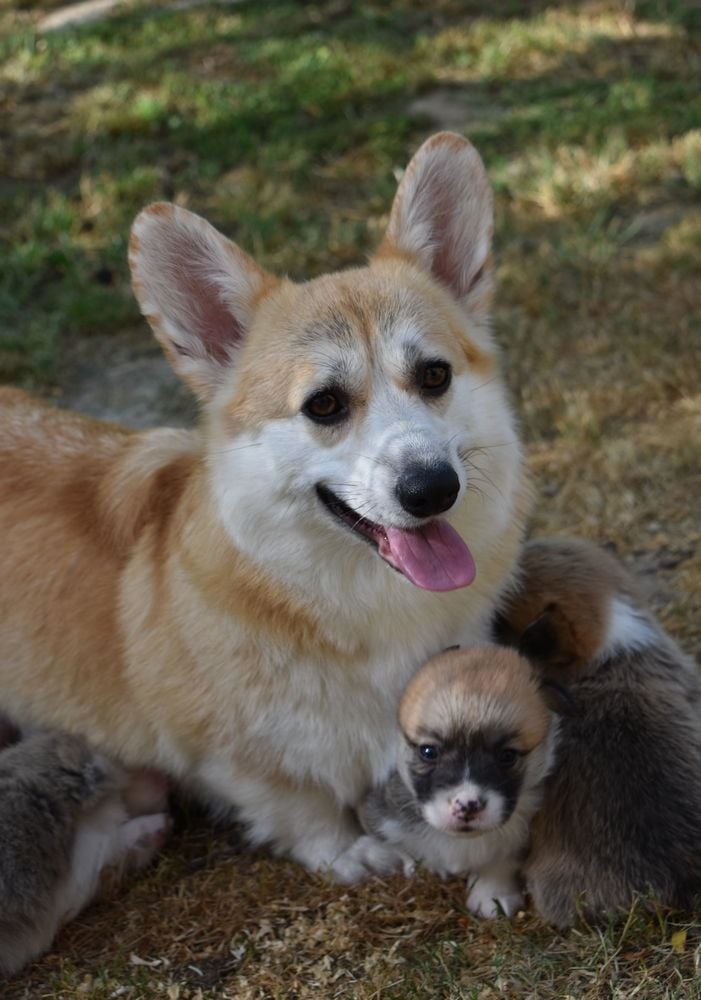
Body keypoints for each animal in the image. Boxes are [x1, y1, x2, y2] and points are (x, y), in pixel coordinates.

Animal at [0, 133, 528, 876]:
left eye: (434, 375)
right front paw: (349, 852)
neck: (358, 604)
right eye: (324, 405)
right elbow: (299, 806)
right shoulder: (230, 759)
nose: (432, 488)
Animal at [340, 644, 556, 916]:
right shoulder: (376, 814)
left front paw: (492, 894)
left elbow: (502, 859)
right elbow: (403, 847)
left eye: (507, 756)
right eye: (429, 751)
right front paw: (422, 865)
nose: (467, 806)